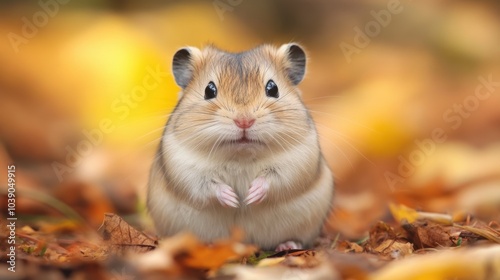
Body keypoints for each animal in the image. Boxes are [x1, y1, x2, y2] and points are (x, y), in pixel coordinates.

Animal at [148, 43, 336, 252]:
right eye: (209, 90)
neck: (241, 154)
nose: (244, 121)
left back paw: (287, 245)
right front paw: (234, 200)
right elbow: (209, 186)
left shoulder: (297, 161)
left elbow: (272, 179)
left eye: (273, 88)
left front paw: (249, 196)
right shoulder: (185, 167)